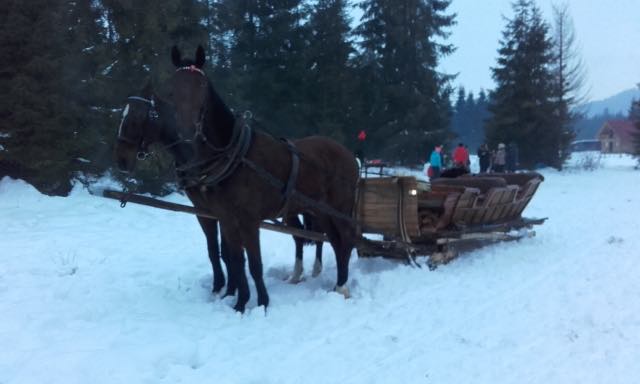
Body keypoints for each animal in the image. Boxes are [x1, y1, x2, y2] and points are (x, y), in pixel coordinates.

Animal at [170, 45, 360, 312]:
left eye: (202, 86)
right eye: (172, 88)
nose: (187, 135)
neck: (235, 155)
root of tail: (349, 154)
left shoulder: (249, 220)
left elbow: (254, 264)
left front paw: (261, 303)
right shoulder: (226, 219)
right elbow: (236, 260)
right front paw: (240, 303)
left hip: (339, 207)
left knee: (347, 238)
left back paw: (342, 286)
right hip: (319, 209)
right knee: (334, 240)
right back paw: (334, 284)